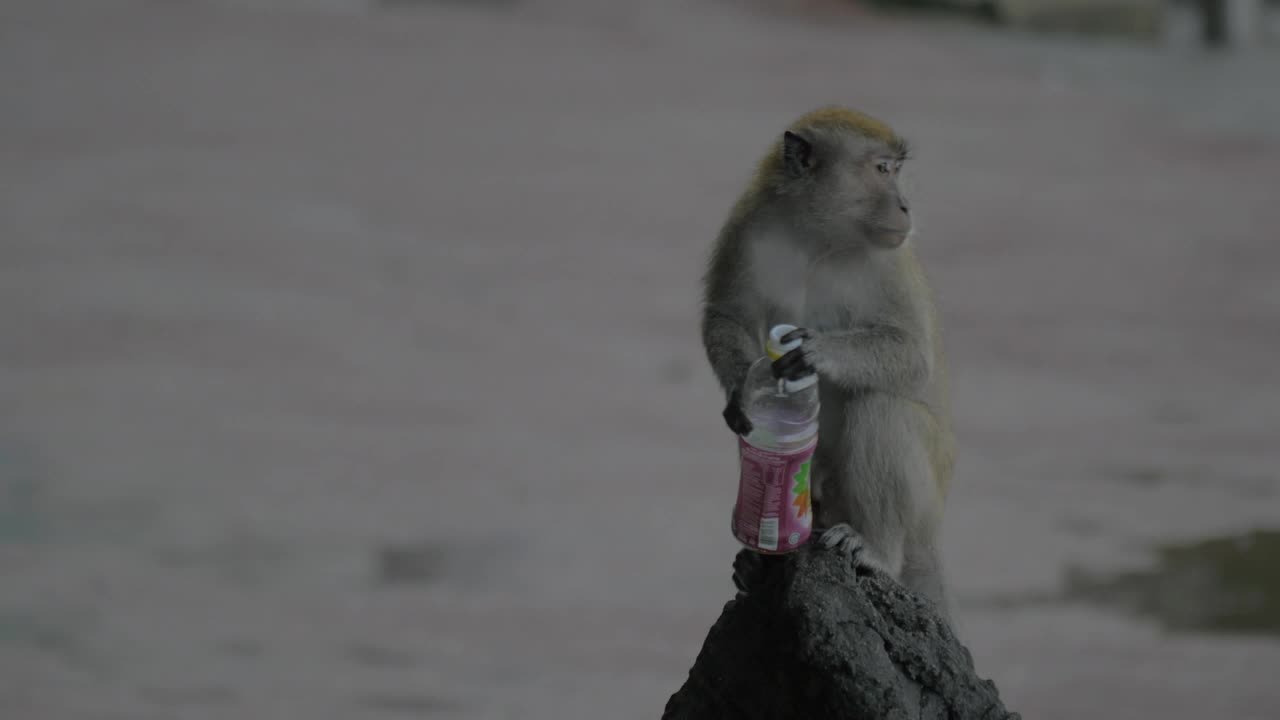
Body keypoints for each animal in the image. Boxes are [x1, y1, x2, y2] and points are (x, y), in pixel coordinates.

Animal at [702, 106, 955, 616]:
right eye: (883, 169)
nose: (905, 207)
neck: (819, 237)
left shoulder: (891, 257)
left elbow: (913, 355)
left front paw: (816, 353)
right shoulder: (747, 226)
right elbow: (726, 316)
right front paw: (744, 388)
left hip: (927, 499)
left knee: (881, 405)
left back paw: (877, 550)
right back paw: (759, 563)